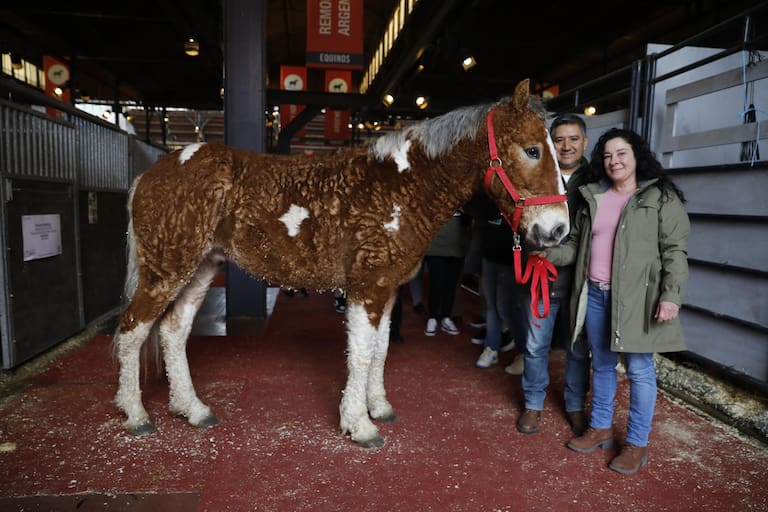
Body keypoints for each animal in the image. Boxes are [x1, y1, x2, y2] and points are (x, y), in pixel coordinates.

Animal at [113, 79, 568, 448]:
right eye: (531, 150)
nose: (557, 229)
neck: (400, 188)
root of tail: (153, 172)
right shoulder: (367, 288)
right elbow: (362, 354)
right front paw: (359, 425)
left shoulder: (388, 291)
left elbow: (381, 350)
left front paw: (377, 405)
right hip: (166, 271)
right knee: (133, 331)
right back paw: (135, 414)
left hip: (201, 268)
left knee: (172, 331)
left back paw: (192, 409)